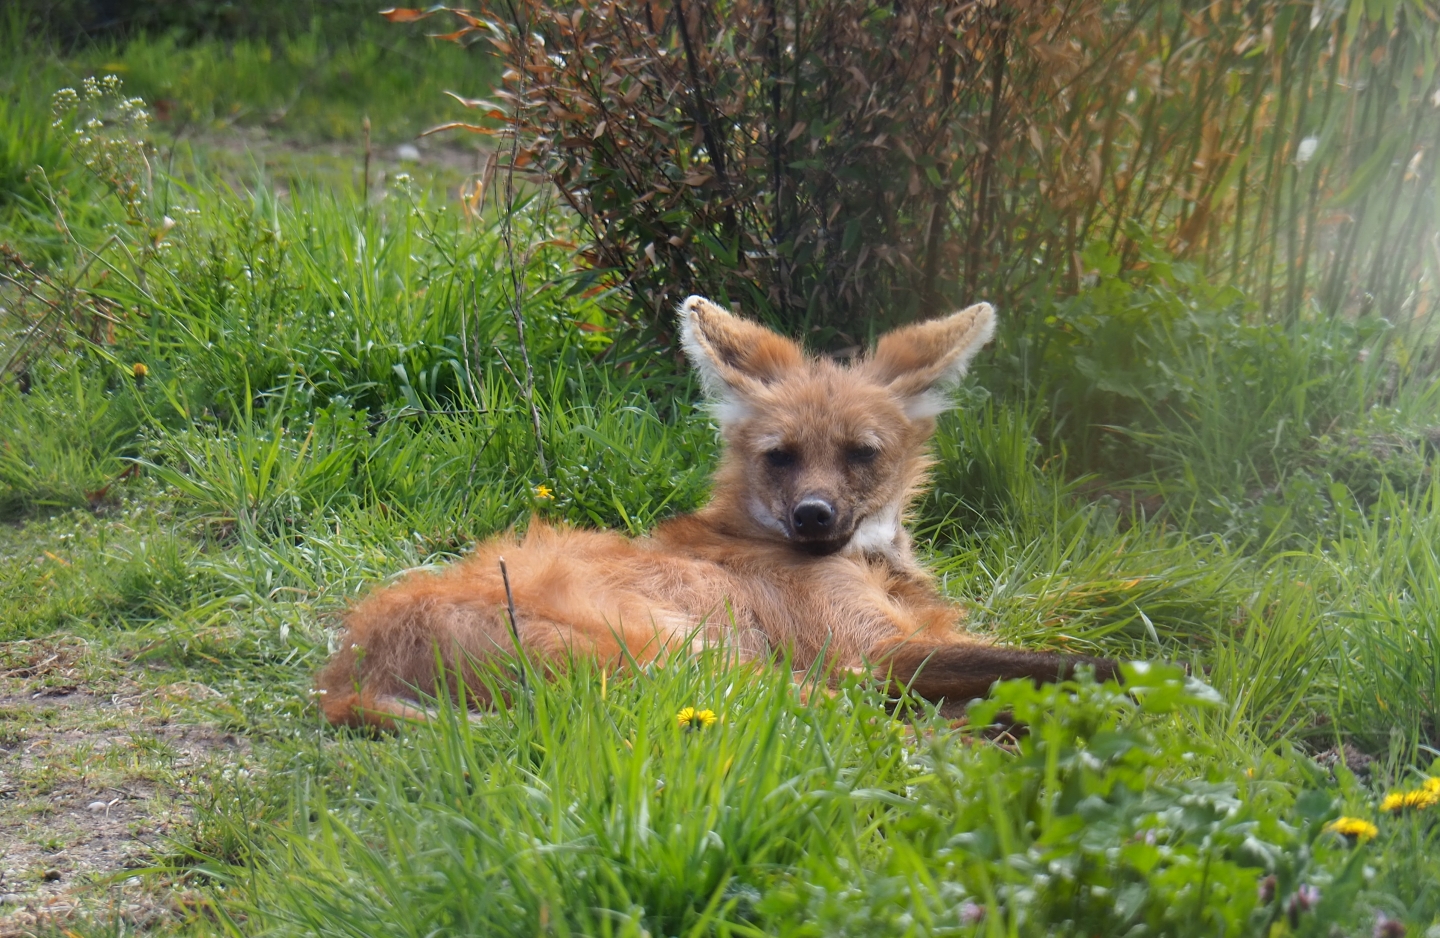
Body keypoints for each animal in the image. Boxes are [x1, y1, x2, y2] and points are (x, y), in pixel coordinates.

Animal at [315, 296, 1117, 727]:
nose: (814, 517)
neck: (870, 561)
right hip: (687, 653)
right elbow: (1087, 663)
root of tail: (350, 671)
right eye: (781, 456)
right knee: (832, 711)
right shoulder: (873, 651)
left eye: (861, 453)